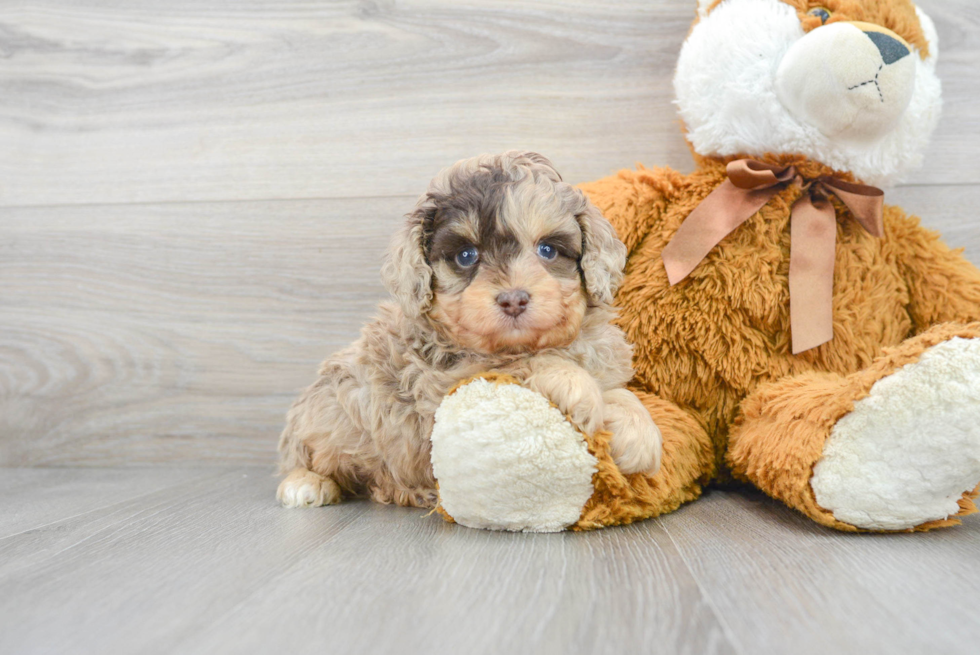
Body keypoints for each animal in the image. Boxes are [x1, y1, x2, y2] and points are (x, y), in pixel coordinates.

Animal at [276, 151, 660, 510]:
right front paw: (575, 386)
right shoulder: (443, 385)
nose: (513, 299)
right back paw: (307, 483)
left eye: (547, 250)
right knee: (301, 456)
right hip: (319, 415)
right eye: (465, 256)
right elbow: (519, 363)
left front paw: (639, 433)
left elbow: (622, 393)